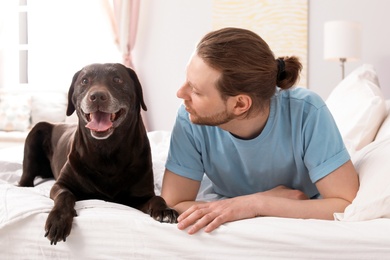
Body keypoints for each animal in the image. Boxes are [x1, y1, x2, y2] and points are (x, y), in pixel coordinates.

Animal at [19, 63, 180, 244]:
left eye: (117, 79)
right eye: (84, 81)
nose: (97, 96)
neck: (106, 150)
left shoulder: (140, 196)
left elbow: (157, 198)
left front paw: (165, 210)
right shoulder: (60, 184)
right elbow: (65, 195)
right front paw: (58, 220)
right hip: (36, 131)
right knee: (26, 175)